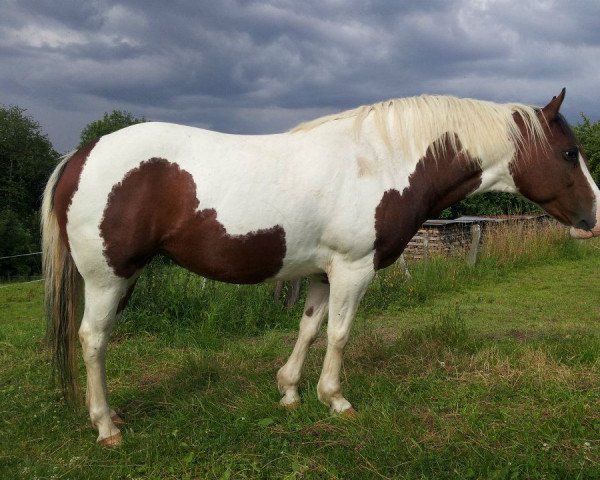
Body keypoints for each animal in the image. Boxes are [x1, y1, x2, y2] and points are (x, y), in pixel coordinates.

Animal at [42, 90, 600, 446]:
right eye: (569, 153)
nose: (593, 218)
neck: (382, 162)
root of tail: (83, 153)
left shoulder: (321, 272)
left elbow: (309, 329)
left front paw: (289, 391)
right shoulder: (354, 269)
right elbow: (339, 334)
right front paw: (335, 399)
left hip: (123, 278)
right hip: (108, 276)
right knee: (92, 339)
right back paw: (106, 427)